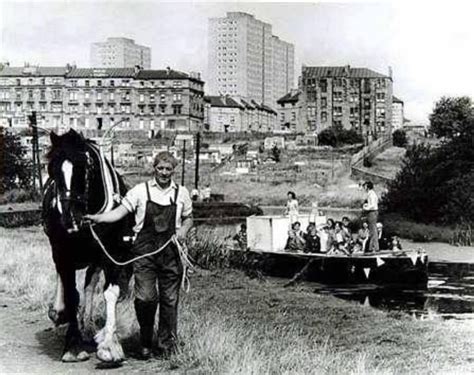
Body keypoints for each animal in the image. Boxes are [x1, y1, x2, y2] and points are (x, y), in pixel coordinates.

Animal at [42, 130, 132, 364]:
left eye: (87, 169)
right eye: (52, 170)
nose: (70, 219)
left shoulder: (112, 253)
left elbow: (110, 292)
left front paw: (109, 345)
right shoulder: (63, 252)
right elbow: (72, 295)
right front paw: (73, 346)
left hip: (96, 257)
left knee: (90, 284)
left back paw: (89, 325)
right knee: (63, 277)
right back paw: (59, 312)